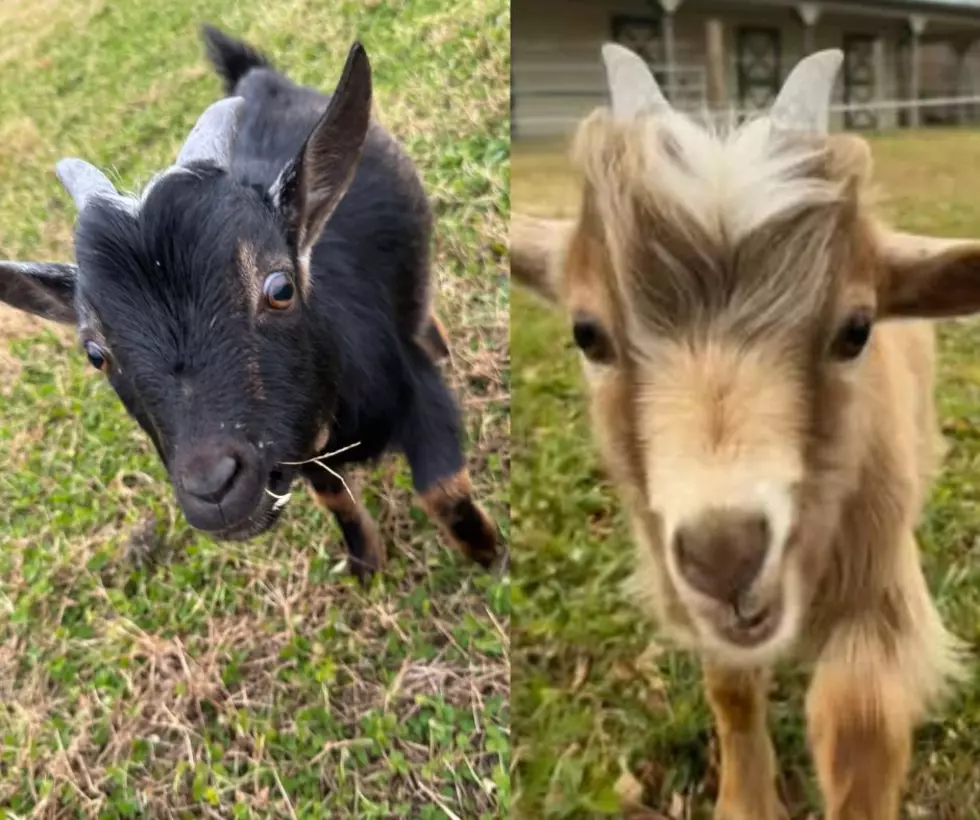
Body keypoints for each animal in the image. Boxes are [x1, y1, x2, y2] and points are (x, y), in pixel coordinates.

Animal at [0, 26, 499, 582]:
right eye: (94, 353)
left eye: (280, 289)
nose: (214, 488)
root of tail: (253, 74)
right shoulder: (299, 451)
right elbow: (335, 498)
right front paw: (365, 561)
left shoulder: (420, 396)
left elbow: (443, 492)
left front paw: (492, 556)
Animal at [511, 45, 978, 819]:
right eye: (587, 333)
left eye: (856, 330)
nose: (725, 554)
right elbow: (729, 684)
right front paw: (746, 800)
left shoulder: (880, 586)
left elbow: (859, 721)